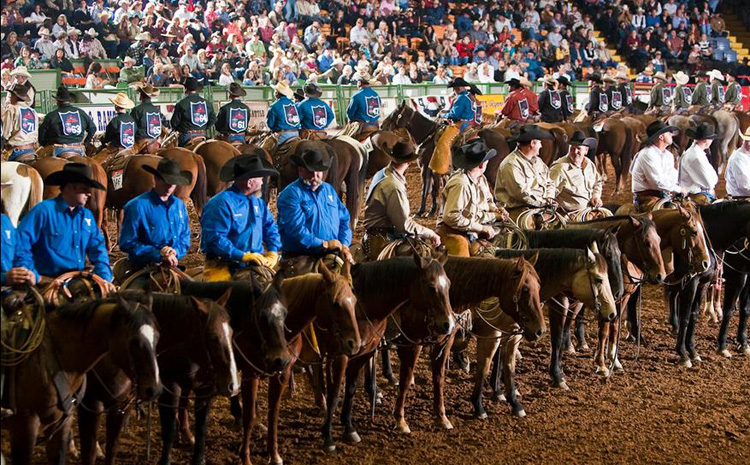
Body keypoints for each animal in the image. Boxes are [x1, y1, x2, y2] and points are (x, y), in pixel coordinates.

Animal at [3, 293, 162, 465]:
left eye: (157, 337)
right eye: (134, 342)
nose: (154, 389)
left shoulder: (118, 407)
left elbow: (111, 448)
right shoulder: (26, 425)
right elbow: (89, 451)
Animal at [77, 291, 237, 465]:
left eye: (231, 333)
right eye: (213, 337)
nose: (233, 385)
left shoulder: (205, 389)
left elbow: (202, 427)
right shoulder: (169, 388)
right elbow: (169, 427)